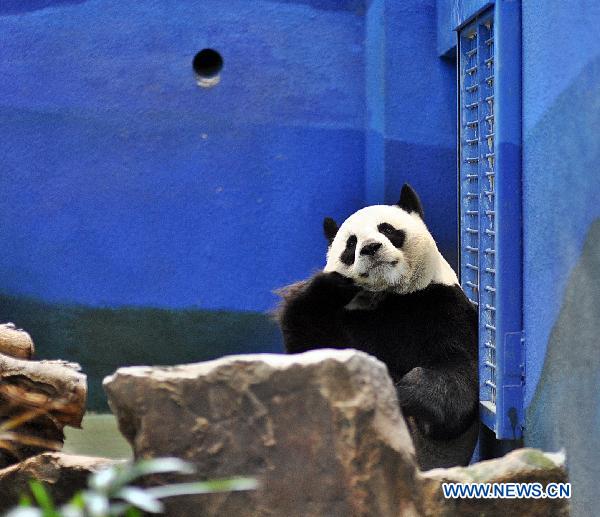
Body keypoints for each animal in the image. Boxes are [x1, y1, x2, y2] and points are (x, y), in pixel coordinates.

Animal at [276, 183, 478, 470]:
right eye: (351, 244)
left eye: (387, 229)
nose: (370, 248)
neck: (388, 295)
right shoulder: (348, 318)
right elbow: (313, 350)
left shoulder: (443, 306)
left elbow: (458, 375)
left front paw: (400, 391)